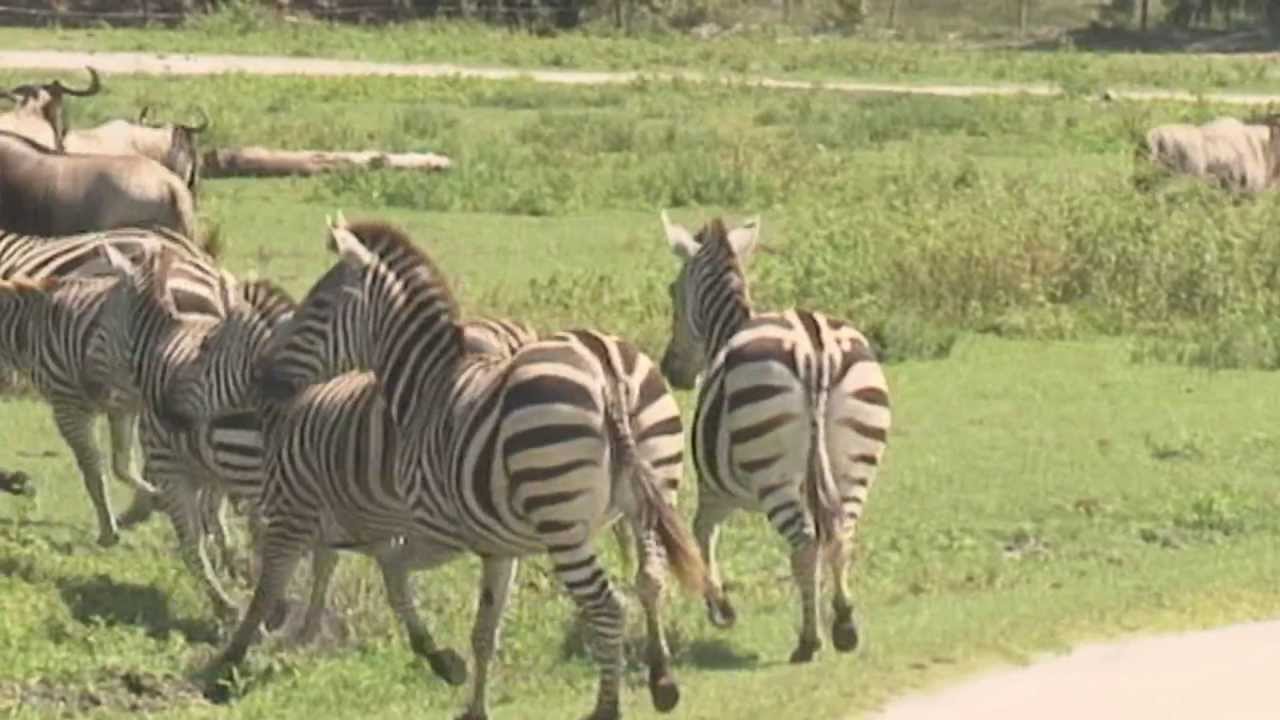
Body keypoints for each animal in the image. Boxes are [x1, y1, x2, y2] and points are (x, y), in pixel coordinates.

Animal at [188, 215, 701, 720]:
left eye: (318, 305)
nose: (262, 382)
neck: (425, 388)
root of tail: (607, 370)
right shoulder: (499, 546)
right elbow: (484, 631)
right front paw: (473, 705)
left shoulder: (443, 532)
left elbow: (393, 574)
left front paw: (441, 661)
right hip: (650, 496)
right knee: (650, 580)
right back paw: (663, 682)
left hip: (563, 524)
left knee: (609, 606)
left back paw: (605, 709)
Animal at [657, 211, 891, 664]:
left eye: (673, 291)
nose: (670, 370)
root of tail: (815, 349)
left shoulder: (716, 490)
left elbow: (701, 532)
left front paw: (721, 609)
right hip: (855, 459)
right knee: (842, 535)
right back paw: (844, 626)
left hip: (772, 475)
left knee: (803, 543)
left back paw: (809, 641)